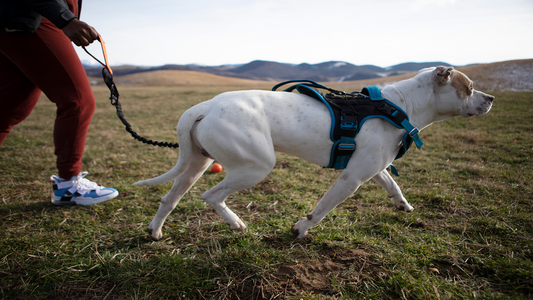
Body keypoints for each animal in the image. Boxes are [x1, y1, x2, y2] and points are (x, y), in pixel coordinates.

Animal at [135, 67, 492, 240]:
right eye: (470, 87)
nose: (491, 99)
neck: (402, 106)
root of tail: (204, 106)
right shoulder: (352, 178)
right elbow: (321, 210)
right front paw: (300, 229)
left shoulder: (373, 168)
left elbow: (393, 184)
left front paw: (403, 205)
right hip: (256, 166)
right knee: (211, 195)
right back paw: (236, 224)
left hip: (197, 161)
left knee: (170, 198)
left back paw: (155, 232)